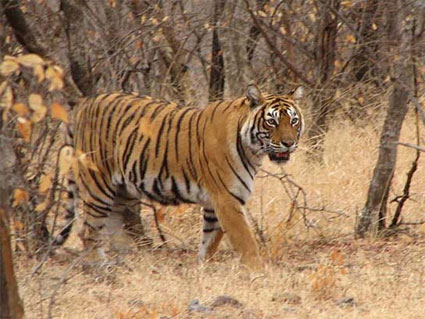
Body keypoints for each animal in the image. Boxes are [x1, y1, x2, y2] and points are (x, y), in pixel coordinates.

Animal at [63, 85, 304, 270]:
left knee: (114, 226)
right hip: (98, 184)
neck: (253, 151)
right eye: (272, 122)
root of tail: (84, 103)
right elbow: (245, 240)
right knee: (88, 230)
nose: (288, 143)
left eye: (293, 121)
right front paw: (258, 271)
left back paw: (126, 258)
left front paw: (203, 267)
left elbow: (210, 240)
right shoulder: (226, 199)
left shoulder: (216, 202)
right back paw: (100, 265)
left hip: (120, 189)